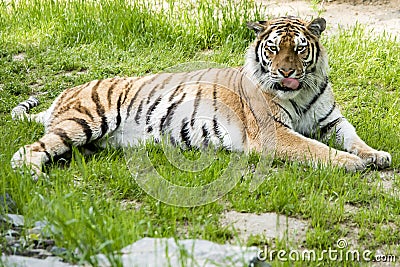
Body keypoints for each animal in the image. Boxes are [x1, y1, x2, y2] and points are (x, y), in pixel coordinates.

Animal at [10, 17, 390, 180]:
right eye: (272, 48)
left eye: (298, 49)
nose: (286, 73)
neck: (303, 90)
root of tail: (65, 92)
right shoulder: (273, 133)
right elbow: (314, 149)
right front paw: (351, 163)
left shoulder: (332, 120)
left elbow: (354, 138)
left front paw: (376, 155)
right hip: (84, 120)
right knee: (28, 150)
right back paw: (33, 174)